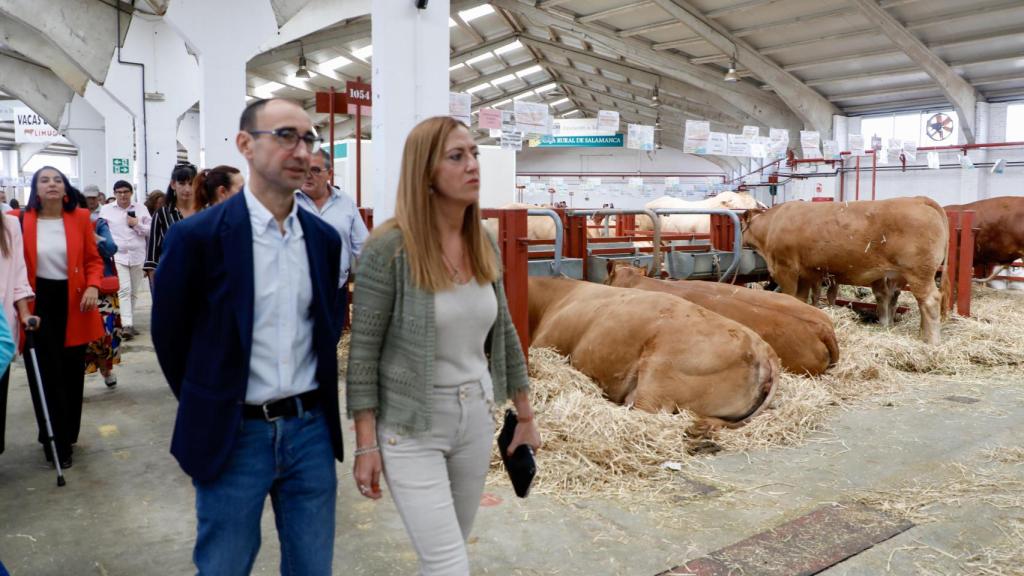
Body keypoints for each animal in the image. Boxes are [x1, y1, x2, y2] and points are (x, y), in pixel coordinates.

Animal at [737, 194, 950, 342]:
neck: (772, 225)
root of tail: (919, 200)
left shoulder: (785, 268)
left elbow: (789, 296)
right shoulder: (805, 273)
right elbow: (801, 299)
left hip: (919, 273)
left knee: (930, 301)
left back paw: (931, 341)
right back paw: (921, 334)